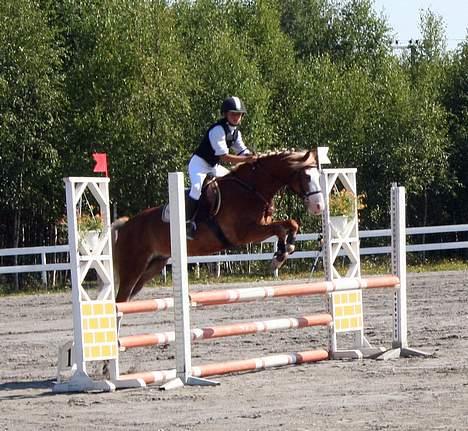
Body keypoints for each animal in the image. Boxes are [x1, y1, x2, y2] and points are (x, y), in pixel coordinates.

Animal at [114, 150, 326, 302]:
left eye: (318, 176)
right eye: (306, 177)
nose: (319, 206)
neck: (251, 188)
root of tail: (126, 226)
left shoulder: (261, 225)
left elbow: (290, 224)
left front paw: (283, 251)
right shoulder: (245, 233)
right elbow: (281, 227)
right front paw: (280, 255)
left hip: (153, 266)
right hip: (132, 268)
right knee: (120, 300)